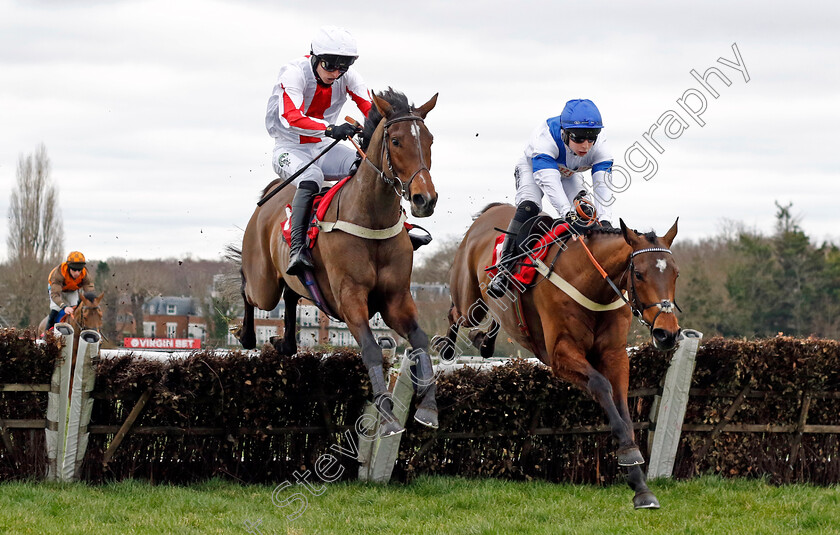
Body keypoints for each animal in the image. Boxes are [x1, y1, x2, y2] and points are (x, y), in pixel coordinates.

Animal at [236, 89, 440, 440]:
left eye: (429, 139)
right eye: (396, 141)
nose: (424, 199)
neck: (370, 218)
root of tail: (269, 198)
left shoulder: (396, 299)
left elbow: (419, 339)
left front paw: (427, 407)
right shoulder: (350, 298)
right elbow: (371, 349)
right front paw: (387, 416)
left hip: (291, 282)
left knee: (291, 296)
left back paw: (284, 342)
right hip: (263, 283)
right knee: (247, 287)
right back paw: (248, 336)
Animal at [440, 203, 684, 508]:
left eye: (676, 274)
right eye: (638, 274)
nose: (667, 333)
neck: (592, 285)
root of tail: (492, 211)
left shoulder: (615, 354)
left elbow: (623, 406)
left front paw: (639, 484)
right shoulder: (560, 355)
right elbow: (600, 385)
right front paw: (629, 456)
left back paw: (484, 341)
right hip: (469, 301)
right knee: (455, 313)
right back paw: (448, 348)